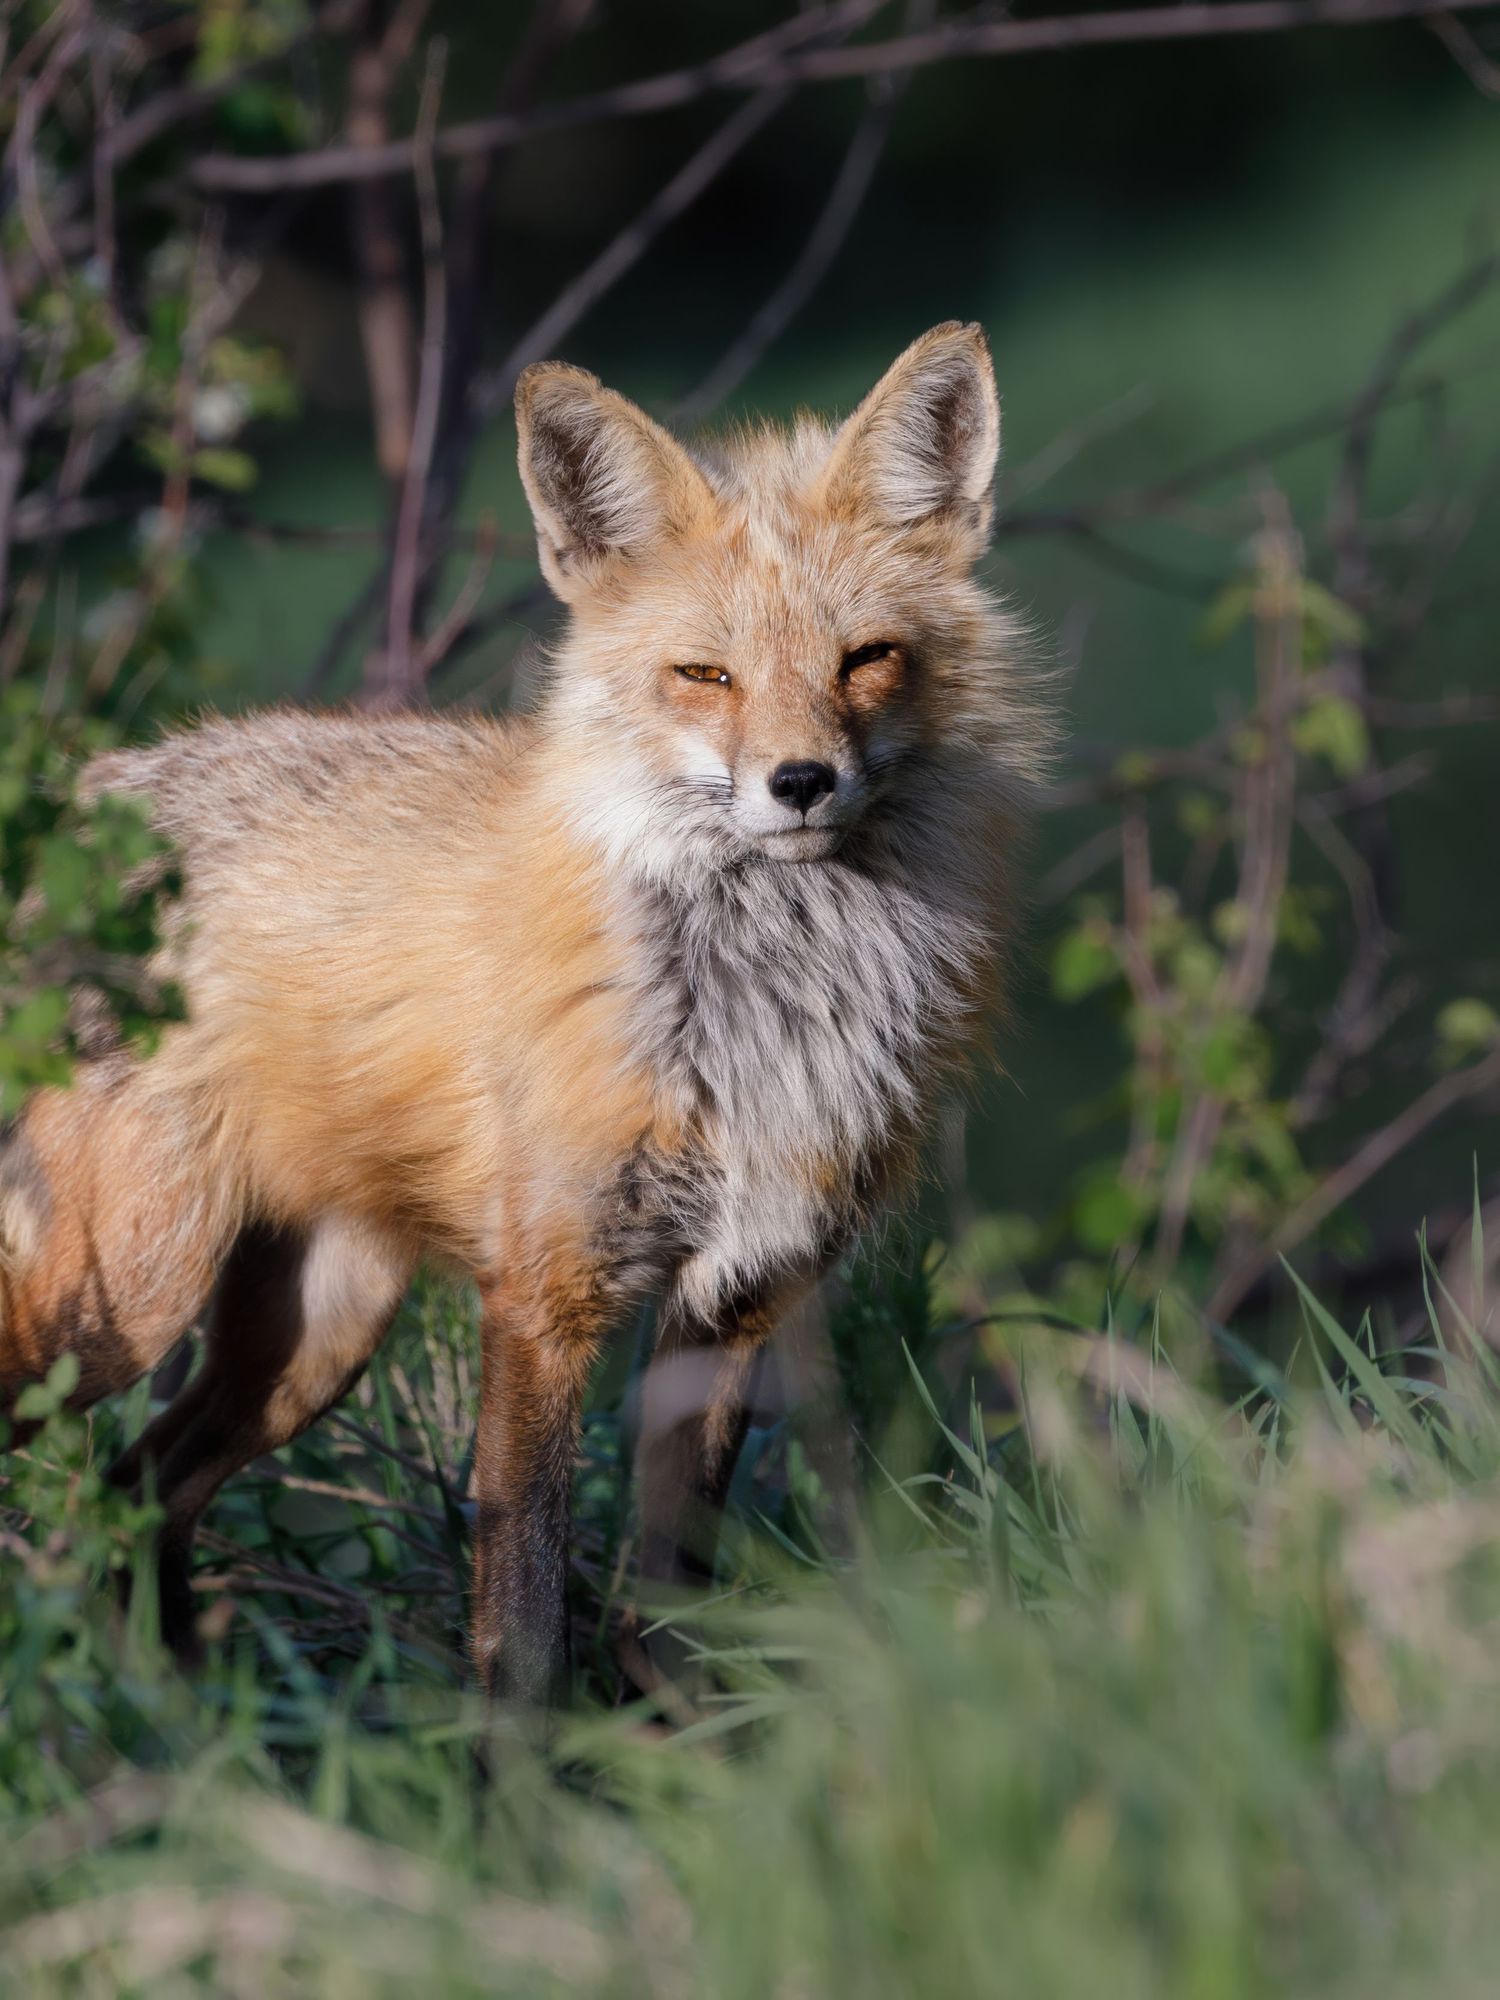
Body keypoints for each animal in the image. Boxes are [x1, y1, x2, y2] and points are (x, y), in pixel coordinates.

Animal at [0, 322, 1045, 1701]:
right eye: (705, 675)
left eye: (866, 658)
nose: (801, 781)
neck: (761, 1003)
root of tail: (74, 808)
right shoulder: (548, 1294)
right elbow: (526, 1619)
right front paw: (524, 1767)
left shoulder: (737, 1291)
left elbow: (670, 1591)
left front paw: (678, 1745)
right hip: (126, 1291)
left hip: (314, 1338)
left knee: (135, 1490)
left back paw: (178, 1717)